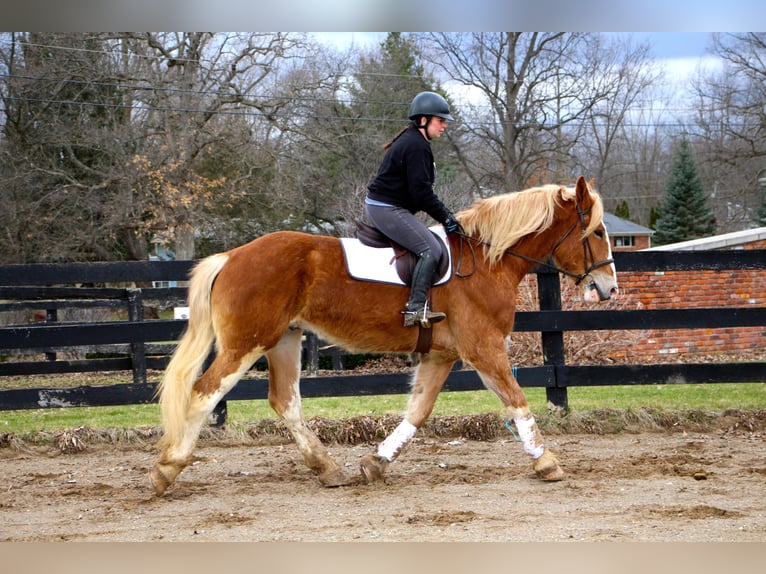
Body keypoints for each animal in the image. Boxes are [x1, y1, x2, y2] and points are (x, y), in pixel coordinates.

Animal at [148, 178, 616, 498]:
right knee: (204, 393)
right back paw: (167, 469)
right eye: (596, 232)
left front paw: (376, 463)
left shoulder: (441, 356)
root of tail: (231, 256)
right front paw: (548, 463)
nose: (609, 288)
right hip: (248, 343)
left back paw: (327, 469)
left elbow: (419, 412)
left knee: (285, 402)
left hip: (284, 340)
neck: (487, 261)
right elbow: (517, 402)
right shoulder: (484, 349)